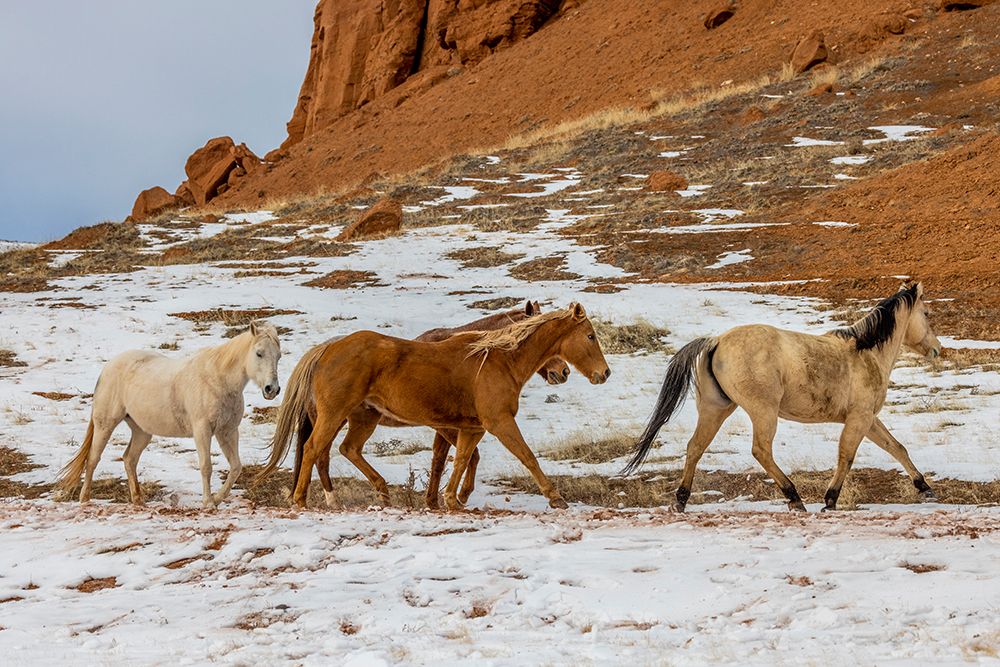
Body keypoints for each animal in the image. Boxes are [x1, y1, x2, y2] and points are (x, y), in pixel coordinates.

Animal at [57, 322, 282, 508]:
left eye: (278, 356)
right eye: (259, 353)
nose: (272, 389)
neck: (217, 380)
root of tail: (107, 368)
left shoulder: (227, 431)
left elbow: (236, 467)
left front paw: (217, 498)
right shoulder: (202, 431)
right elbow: (206, 466)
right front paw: (208, 503)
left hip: (142, 431)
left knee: (129, 459)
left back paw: (138, 500)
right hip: (105, 424)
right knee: (93, 459)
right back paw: (84, 499)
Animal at [260, 303, 610, 510]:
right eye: (590, 336)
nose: (603, 374)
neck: (496, 359)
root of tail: (326, 349)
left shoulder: (471, 427)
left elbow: (459, 460)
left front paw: (451, 499)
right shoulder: (498, 422)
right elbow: (526, 457)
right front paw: (555, 497)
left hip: (363, 419)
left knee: (346, 450)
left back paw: (381, 492)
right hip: (334, 416)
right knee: (314, 449)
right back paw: (302, 500)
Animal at [622, 283, 941, 512]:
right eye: (926, 314)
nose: (937, 349)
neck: (865, 353)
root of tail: (716, 341)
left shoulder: (868, 419)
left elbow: (897, 448)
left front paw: (925, 488)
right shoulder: (859, 418)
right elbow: (846, 456)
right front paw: (830, 500)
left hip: (716, 408)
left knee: (695, 447)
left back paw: (680, 501)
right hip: (763, 411)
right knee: (761, 450)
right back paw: (794, 498)